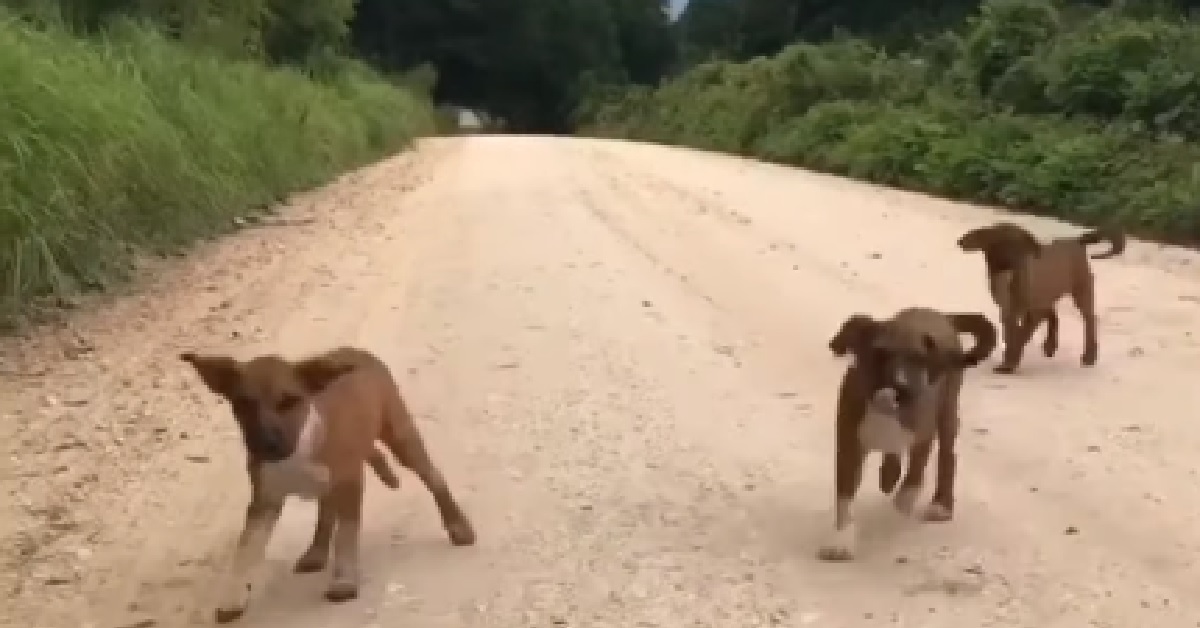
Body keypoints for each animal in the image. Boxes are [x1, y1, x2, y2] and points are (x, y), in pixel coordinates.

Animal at [180, 348, 475, 624]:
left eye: (289, 401)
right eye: (243, 404)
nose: (266, 445)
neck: (298, 451)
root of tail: (356, 351)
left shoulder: (349, 484)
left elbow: (346, 535)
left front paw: (343, 581)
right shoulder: (264, 501)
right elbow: (246, 550)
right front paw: (232, 598)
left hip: (400, 435)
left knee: (434, 477)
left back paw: (457, 524)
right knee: (326, 511)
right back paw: (316, 551)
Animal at [820, 307, 998, 561]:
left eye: (919, 358)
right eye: (879, 353)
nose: (901, 388)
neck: (886, 410)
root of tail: (940, 313)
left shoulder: (923, 435)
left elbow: (913, 478)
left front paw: (900, 508)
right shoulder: (848, 446)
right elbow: (844, 498)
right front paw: (840, 540)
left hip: (947, 411)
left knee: (947, 456)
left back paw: (941, 505)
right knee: (895, 456)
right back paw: (889, 475)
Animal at [955, 222, 1123, 374]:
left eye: (1017, 244)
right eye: (996, 243)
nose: (1010, 266)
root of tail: (1077, 240)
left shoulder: (1030, 312)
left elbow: (1020, 336)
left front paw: (1009, 364)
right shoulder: (1009, 313)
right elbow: (1014, 334)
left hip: (1081, 291)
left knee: (1089, 319)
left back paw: (1089, 355)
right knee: (1054, 315)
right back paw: (1050, 346)